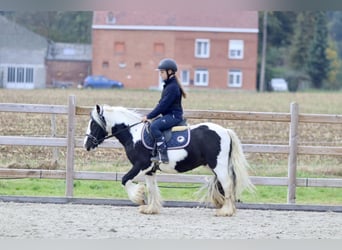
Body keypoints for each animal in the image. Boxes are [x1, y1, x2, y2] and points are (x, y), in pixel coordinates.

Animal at [83, 104, 254, 216]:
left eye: (93, 124)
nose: (86, 144)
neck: (134, 134)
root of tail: (225, 130)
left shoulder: (142, 165)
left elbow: (125, 180)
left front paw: (138, 197)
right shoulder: (150, 170)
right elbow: (151, 188)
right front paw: (150, 208)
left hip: (219, 166)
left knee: (228, 185)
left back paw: (226, 211)